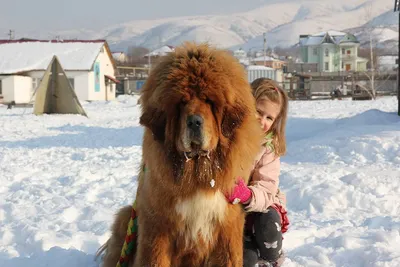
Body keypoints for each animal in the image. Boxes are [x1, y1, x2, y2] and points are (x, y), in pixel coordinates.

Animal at [99, 43, 264, 266]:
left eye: (208, 101)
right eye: (181, 103)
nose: (194, 121)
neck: (197, 172)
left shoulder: (226, 229)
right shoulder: (157, 227)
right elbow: (154, 259)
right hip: (126, 217)